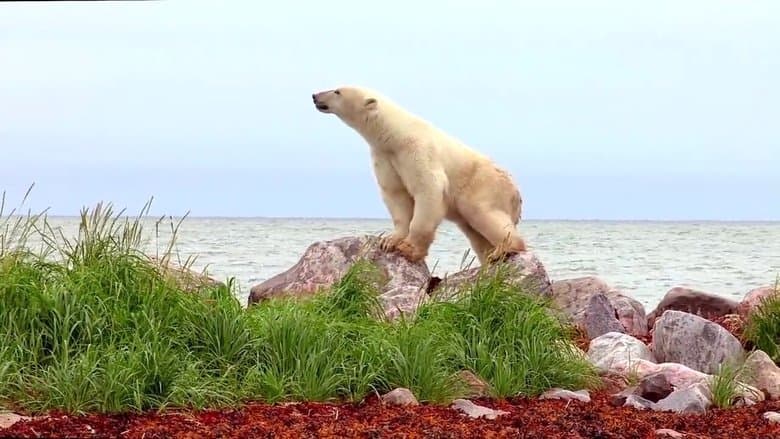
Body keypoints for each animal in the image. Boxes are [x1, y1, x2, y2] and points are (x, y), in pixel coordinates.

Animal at [311, 85, 527, 265]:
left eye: (337, 91)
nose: (315, 96)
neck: (395, 134)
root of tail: (517, 194)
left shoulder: (418, 151)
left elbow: (428, 189)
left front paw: (408, 249)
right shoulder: (385, 157)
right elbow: (395, 194)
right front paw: (389, 241)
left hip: (484, 186)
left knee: (483, 213)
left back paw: (504, 250)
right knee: (475, 233)